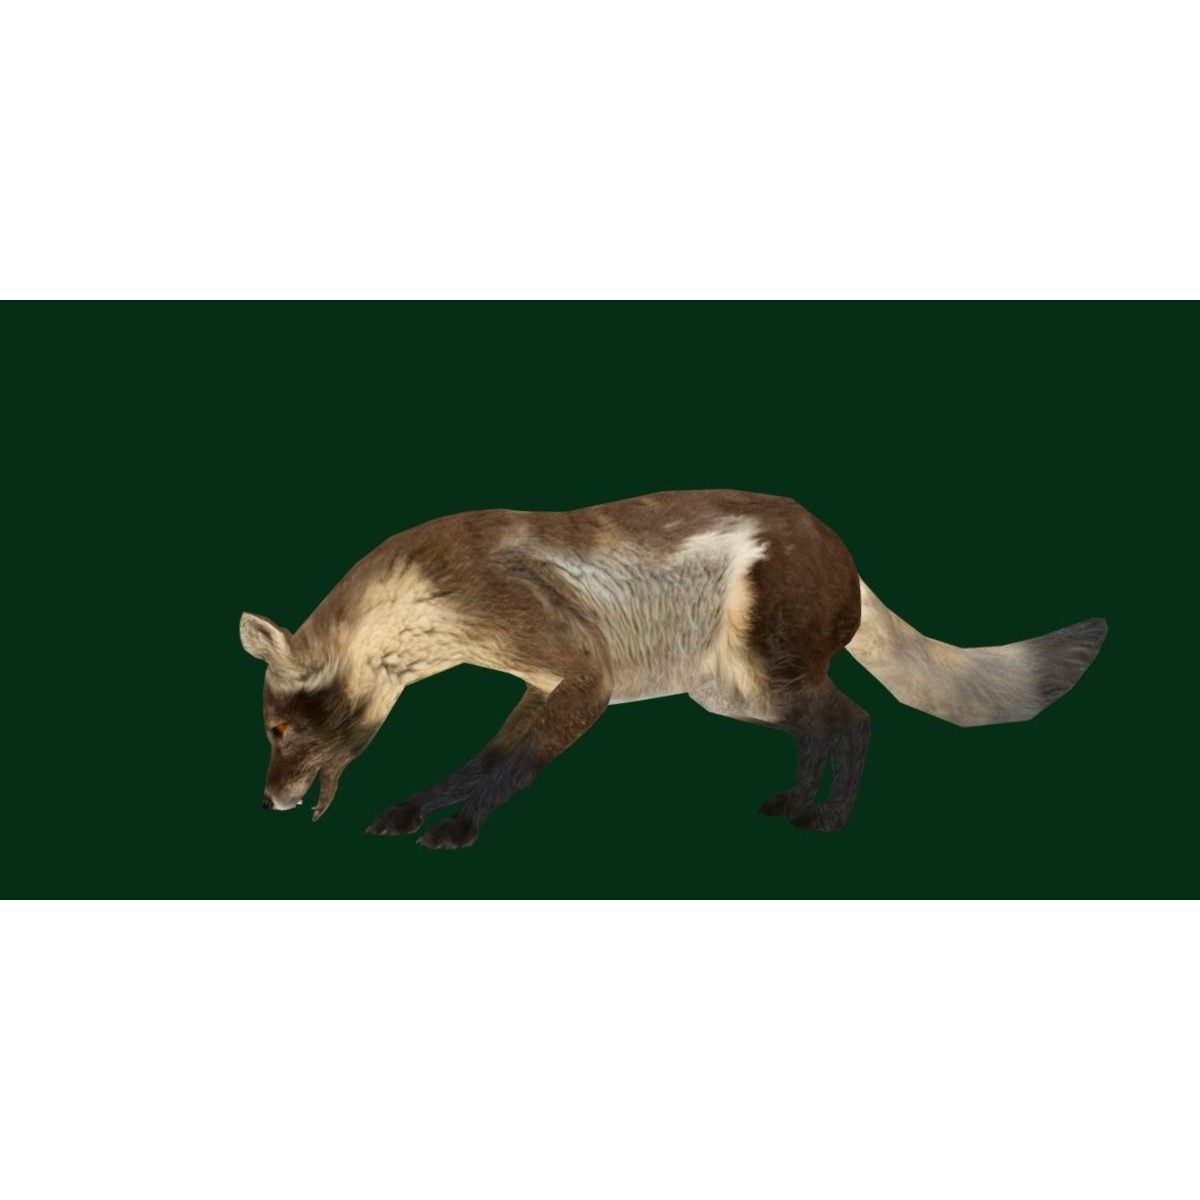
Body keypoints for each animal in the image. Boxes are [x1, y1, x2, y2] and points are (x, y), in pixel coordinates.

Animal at [239, 489, 1106, 849]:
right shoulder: (539, 685)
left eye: (278, 729)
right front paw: (414, 811)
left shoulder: (583, 675)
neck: (436, 594)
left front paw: (457, 828)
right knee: (822, 731)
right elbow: (476, 762)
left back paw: (826, 819)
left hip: (766, 676)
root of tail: (845, 552)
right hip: (735, 693)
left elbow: (505, 768)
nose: (268, 802)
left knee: (857, 722)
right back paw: (795, 804)